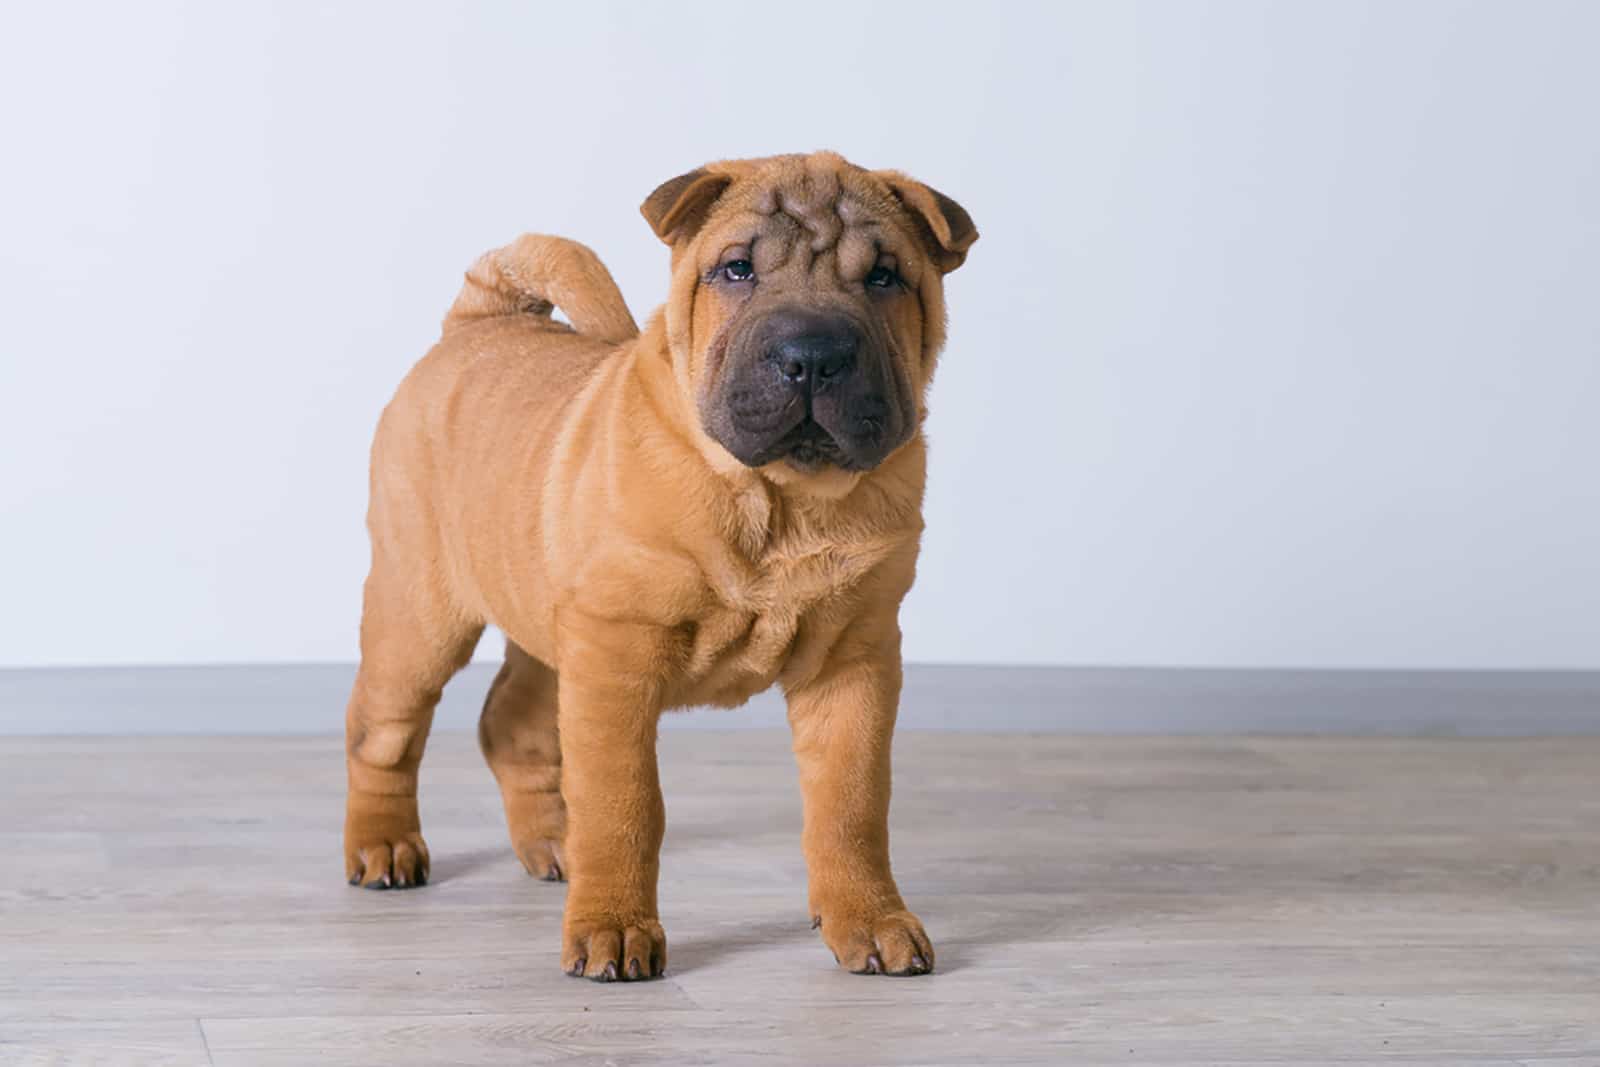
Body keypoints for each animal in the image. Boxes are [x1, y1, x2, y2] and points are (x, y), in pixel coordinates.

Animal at [340, 151, 972, 985]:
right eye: (736, 269)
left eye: (883, 277)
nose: (811, 356)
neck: (782, 496)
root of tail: (479, 322)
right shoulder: (618, 651)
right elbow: (624, 803)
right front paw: (613, 930)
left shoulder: (855, 658)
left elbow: (852, 803)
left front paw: (870, 920)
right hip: (420, 615)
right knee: (381, 731)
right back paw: (383, 848)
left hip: (548, 620)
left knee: (510, 721)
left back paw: (554, 845)